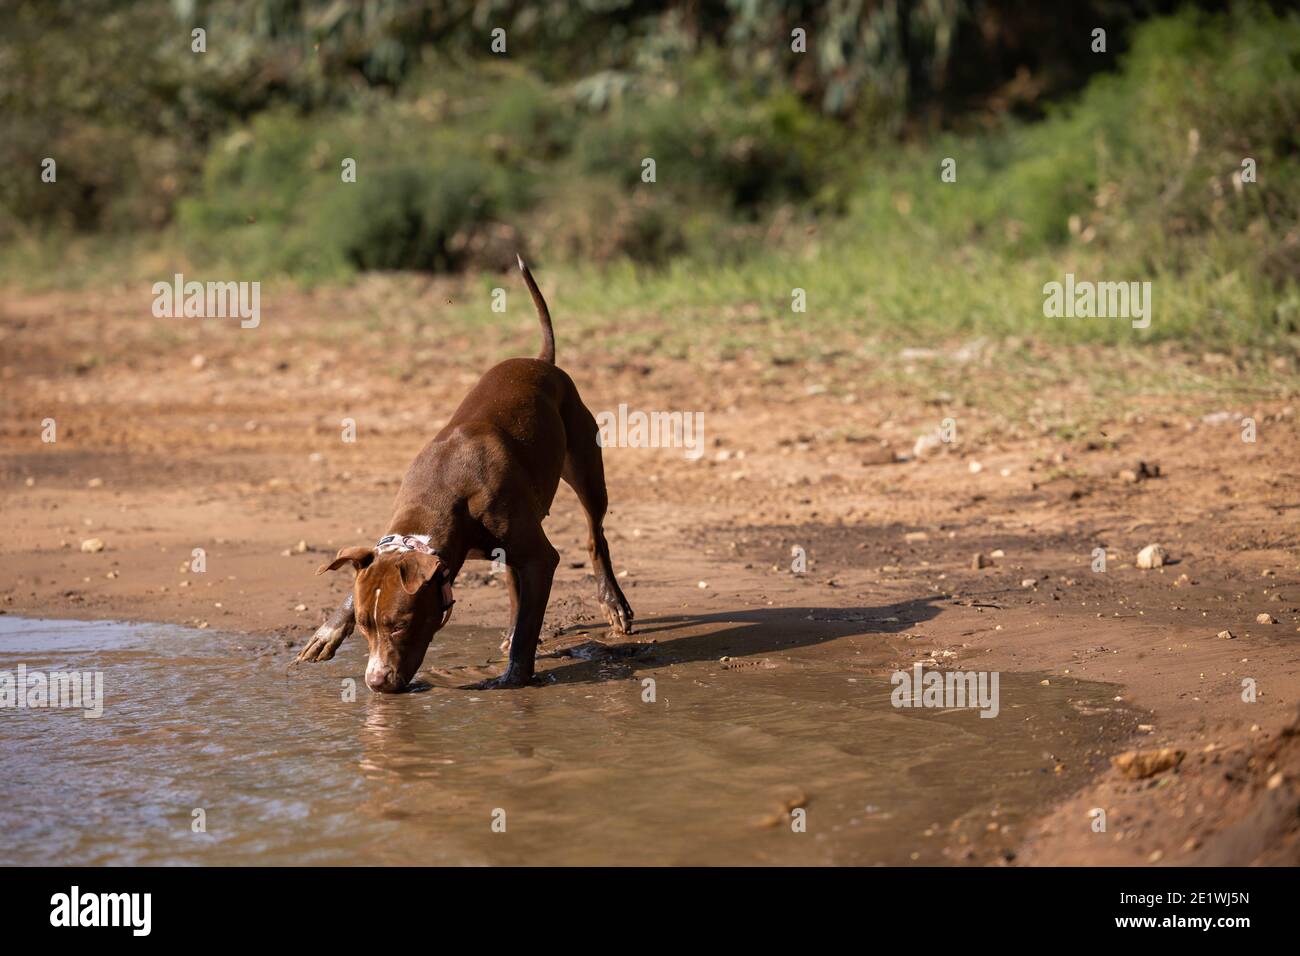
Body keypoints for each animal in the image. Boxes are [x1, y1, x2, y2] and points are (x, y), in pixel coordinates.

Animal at [296, 254, 639, 686]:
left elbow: (531, 620)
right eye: (363, 625)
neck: (440, 501)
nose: (375, 682)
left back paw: (613, 602)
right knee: (515, 581)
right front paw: (328, 629)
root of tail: (539, 360)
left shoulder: (541, 557)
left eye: (400, 625)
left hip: (586, 471)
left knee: (596, 537)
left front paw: (514, 676)